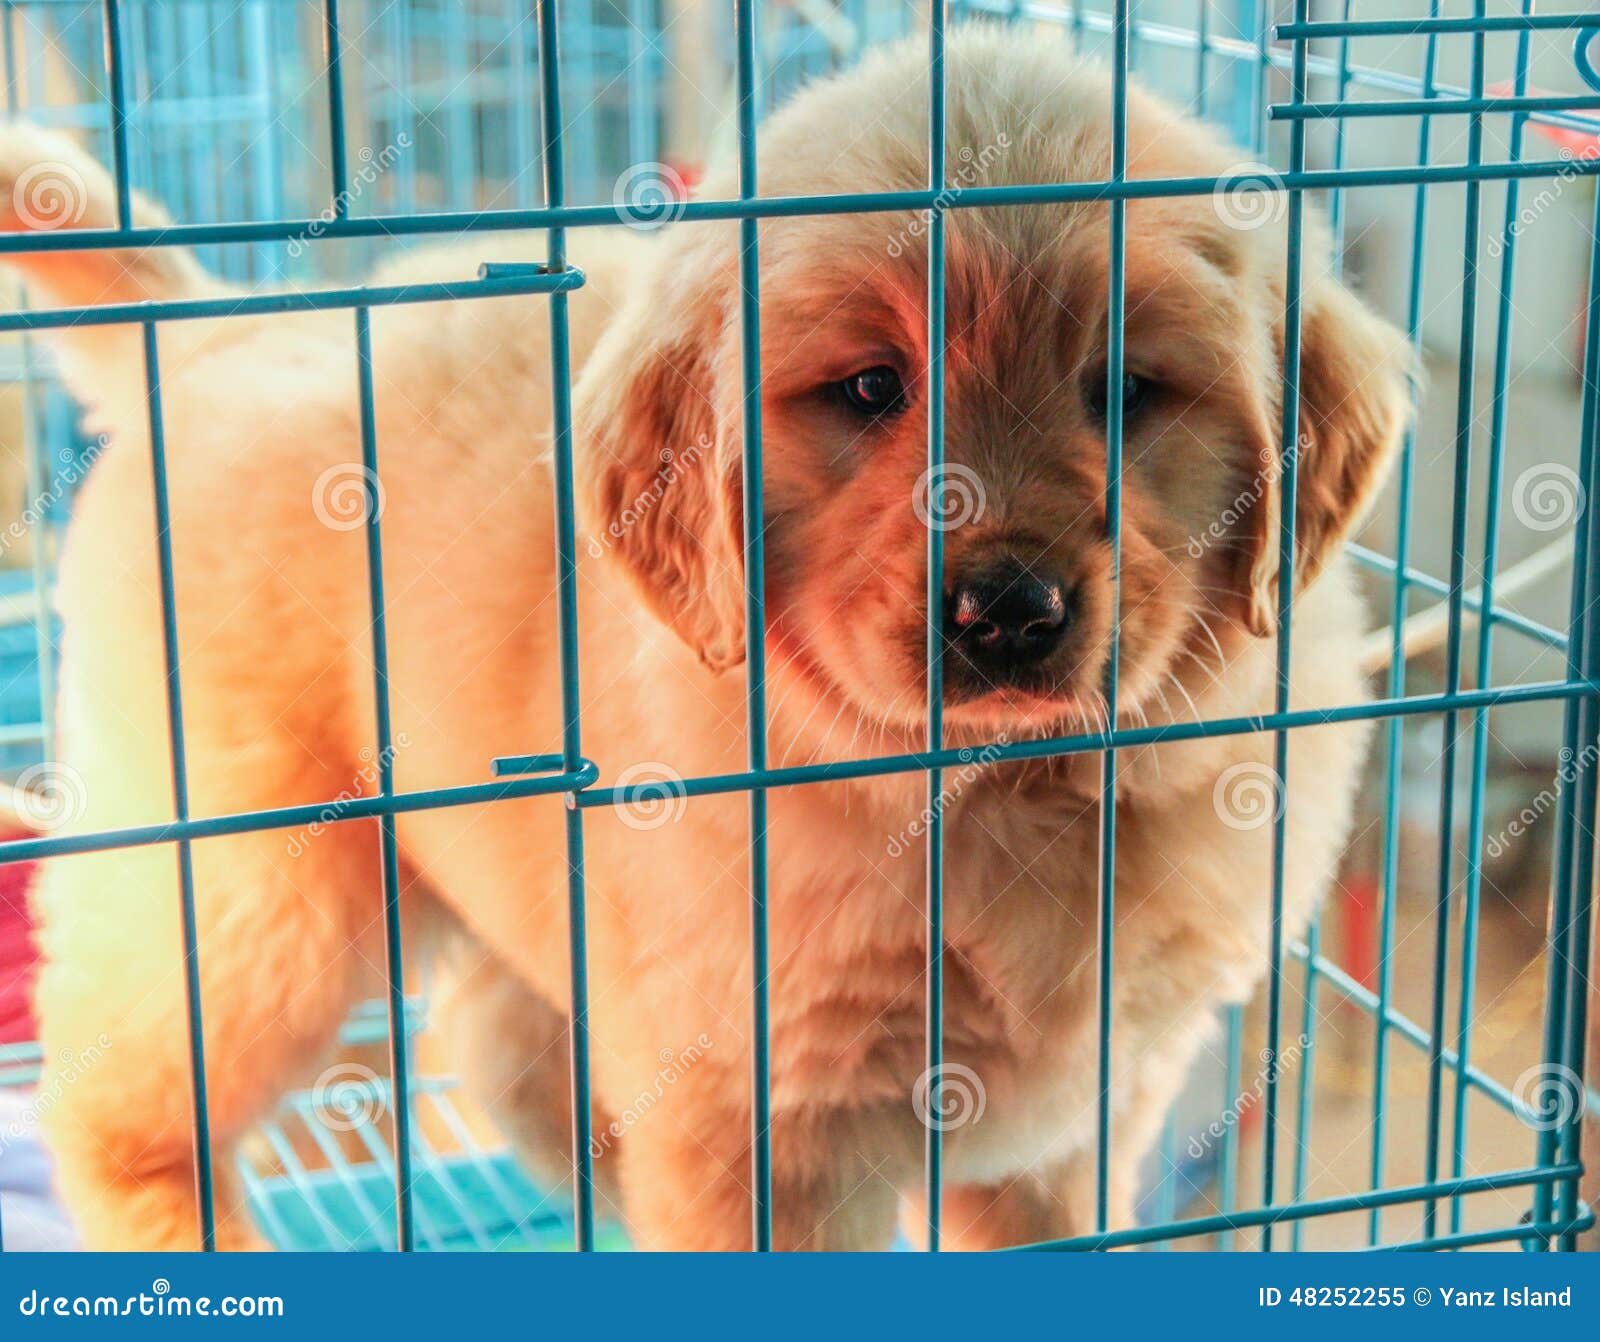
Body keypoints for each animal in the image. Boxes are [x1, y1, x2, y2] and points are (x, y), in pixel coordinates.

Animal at [0, 26, 1408, 1254]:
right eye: (869, 389)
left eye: (1124, 391)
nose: (1008, 611)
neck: (1005, 794)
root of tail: (224, 328)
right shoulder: (761, 1117)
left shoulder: (1071, 1121)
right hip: (258, 877)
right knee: (116, 1095)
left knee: (495, 1040)